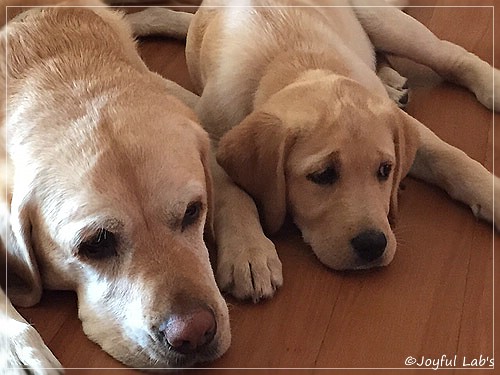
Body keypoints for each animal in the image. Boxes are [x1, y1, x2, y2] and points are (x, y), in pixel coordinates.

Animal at [130, 0, 500, 302]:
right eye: (322, 176)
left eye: (385, 170)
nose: (374, 245)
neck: (294, 62)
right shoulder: (210, 137)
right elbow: (232, 193)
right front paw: (249, 252)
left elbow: (450, 157)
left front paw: (491, 193)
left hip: (386, 22)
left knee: (450, 55)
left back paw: (489, 85)